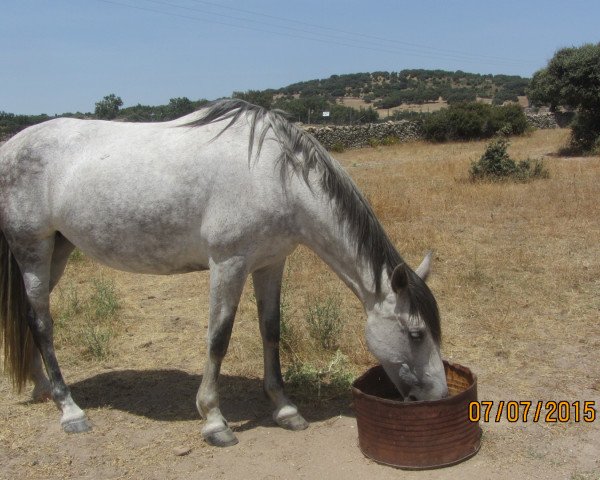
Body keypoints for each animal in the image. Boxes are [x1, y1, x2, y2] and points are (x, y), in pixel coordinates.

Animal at [0, 99, 446, 448]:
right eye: (416, 333)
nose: (439, 396)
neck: (277, 175)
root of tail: (12, 145)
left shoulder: (270, 263)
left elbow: (271, 329)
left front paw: (285, 408)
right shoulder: (228, 264)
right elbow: (219, 338)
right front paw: (214, 420)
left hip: (58, 250)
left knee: (31, 318)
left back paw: (44, 388)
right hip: (34, 250)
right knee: (42, 323)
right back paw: (70, 410)